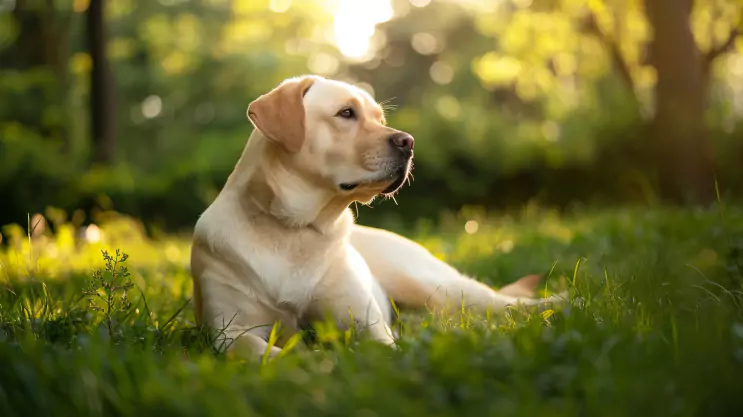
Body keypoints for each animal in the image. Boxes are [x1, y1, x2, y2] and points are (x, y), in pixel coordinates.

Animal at [189, 75, 568, 358]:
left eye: (379, 119)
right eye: (346, 113)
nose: (409, 142)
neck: (295, 228)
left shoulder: (367, 325)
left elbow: (381, 348)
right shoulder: (229, 331)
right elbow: (258, 350)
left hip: (435, 285)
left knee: (505, 303)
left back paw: (564, 301)